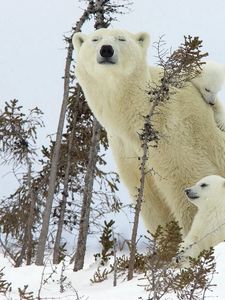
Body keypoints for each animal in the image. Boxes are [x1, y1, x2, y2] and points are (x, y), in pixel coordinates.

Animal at [72, 28, 225, 234]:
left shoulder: (175, 135)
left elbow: (189, 186)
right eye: (95, 39)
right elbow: (152, 203)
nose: (106, 50)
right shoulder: (127, 151)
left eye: (121, 39)